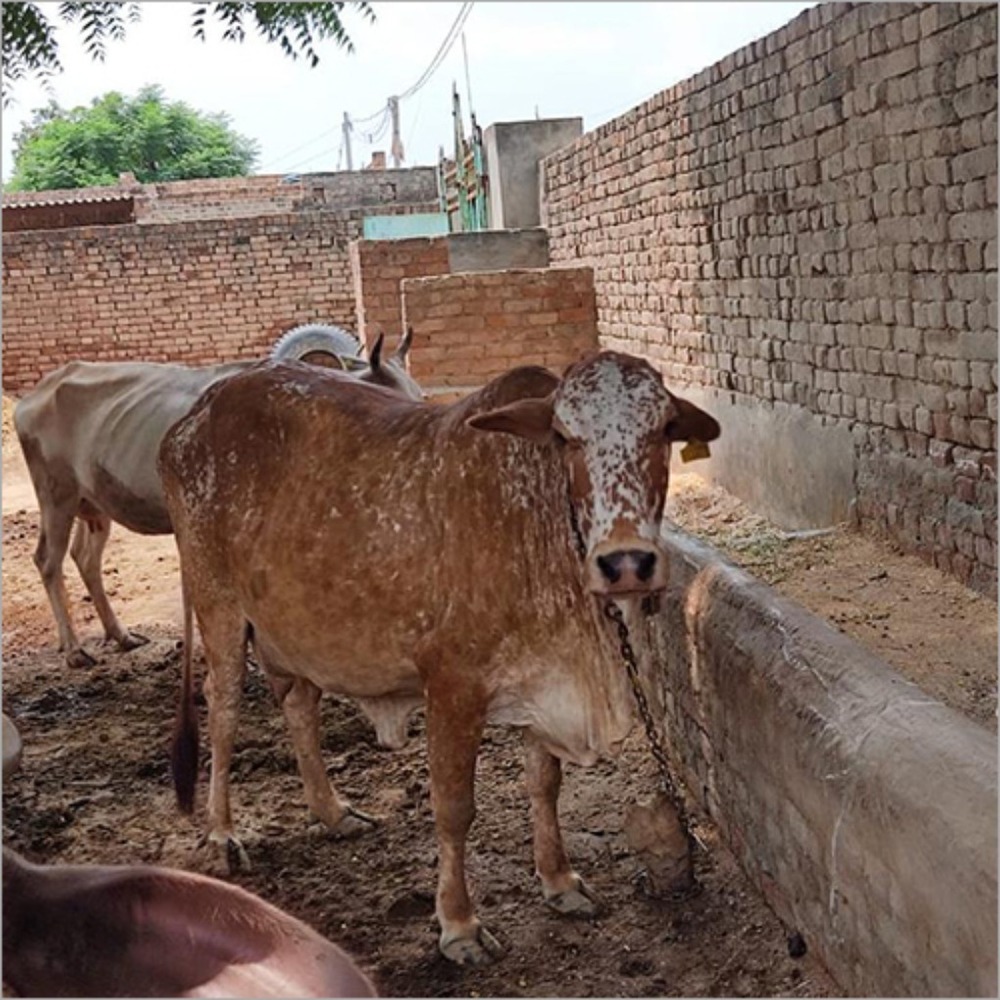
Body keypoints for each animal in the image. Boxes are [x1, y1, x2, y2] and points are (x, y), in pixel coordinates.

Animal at [13, 330, 419, 668]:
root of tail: (36, 393)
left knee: (85, 558)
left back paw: (121, 635)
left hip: (95, 504)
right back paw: (74, 650)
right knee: (48, 560)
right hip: (56, 495)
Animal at [159, 350, 720, 966]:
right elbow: (454, 808)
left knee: (300, 706)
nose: (625, 563)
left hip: (293, 631)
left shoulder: (542, 684)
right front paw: (459, 925)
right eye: (565, 436)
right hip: (218, 606)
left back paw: (332, 812)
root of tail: (194, 415)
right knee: (223, 709)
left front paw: (559, 881)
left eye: (664, 429)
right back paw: (222, 833)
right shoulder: (452, 687)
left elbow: (544, 785)